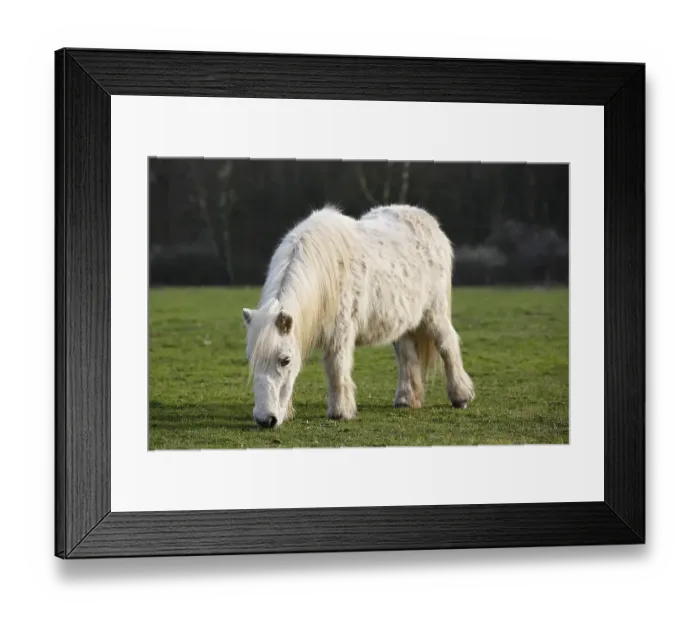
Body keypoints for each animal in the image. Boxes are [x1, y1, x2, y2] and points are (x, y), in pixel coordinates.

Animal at [242, 204, 475, 429]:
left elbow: (337, 368)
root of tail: (429, 223)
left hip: (434, 313)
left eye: (285, 360)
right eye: (251, 358)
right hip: (403, 323)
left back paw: (460, 396)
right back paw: (406, 399)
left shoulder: (340, 333)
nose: (266, 419)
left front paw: (340, 412)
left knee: (447, 345)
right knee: (406, 356)